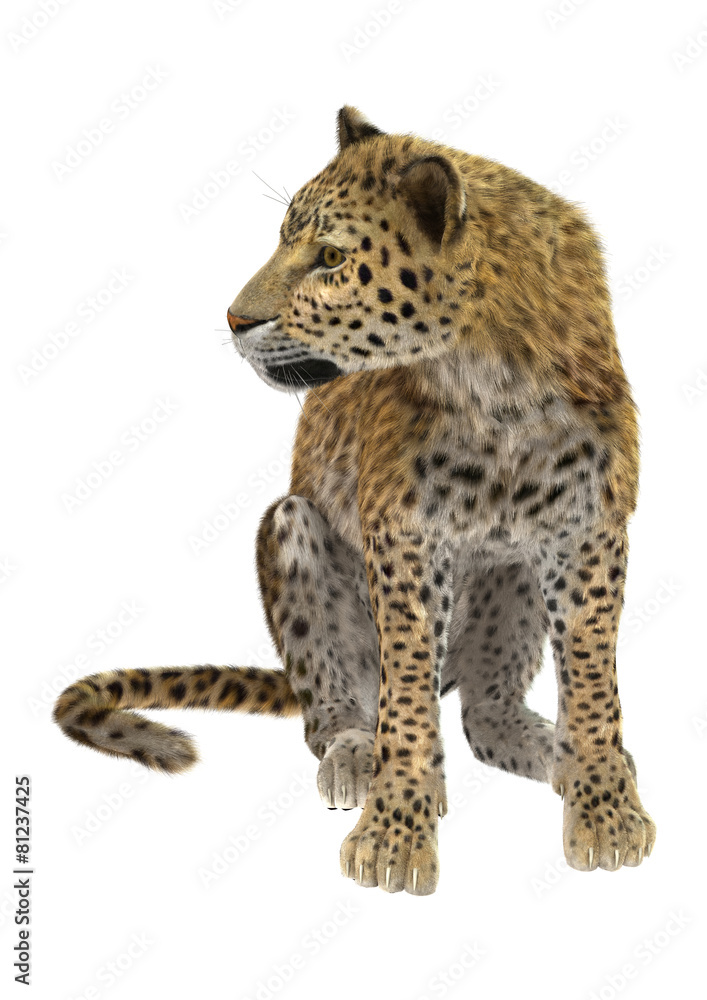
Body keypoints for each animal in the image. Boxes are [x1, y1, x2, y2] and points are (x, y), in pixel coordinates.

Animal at [54, 105, 656, 895]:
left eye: (331, 259)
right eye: (283, 239)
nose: (233, 319)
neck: (496, 387)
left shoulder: (589, 529)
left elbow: (591, 680)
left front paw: (606, 810)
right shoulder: (402, 536)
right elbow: (406, 695)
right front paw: (395, 834)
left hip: (512, 576)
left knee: (484, 713)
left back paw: (547, 749)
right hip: (291, 528)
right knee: (341, 706)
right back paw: (355, 758)